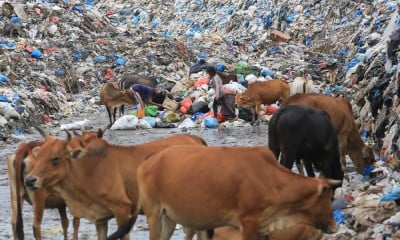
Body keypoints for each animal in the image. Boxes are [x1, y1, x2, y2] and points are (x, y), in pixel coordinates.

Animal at [23, 129, 206, 240]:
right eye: (38, 156)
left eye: (55, 158)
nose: (29, 180)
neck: (89, 170)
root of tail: (195, 139)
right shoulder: (100, 219)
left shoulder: (122, 210)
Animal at [137, 144, 338, 240]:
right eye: (329, 199)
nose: (334, 226)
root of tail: (149, 160)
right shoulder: (248, 223)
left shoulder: (263, 228)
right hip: (154, 215)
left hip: (169, 219)